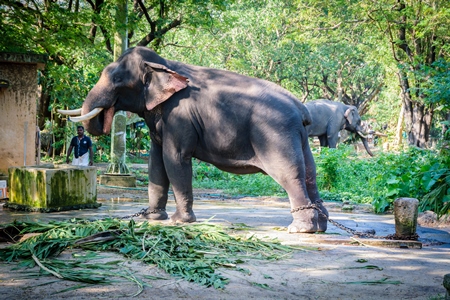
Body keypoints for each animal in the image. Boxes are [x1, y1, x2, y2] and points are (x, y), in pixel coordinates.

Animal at [58, 47, 328, 233]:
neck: (163, 65)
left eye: (117, 80)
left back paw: (300, 229)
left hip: (277, 134)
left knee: (290, 174)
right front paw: (150, 218)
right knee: (310, 173)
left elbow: (174, 159)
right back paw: (320, 225)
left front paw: (180, 221)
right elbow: (156, 163)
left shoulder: (179, 117)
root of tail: (301, 109)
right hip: (299, 138)